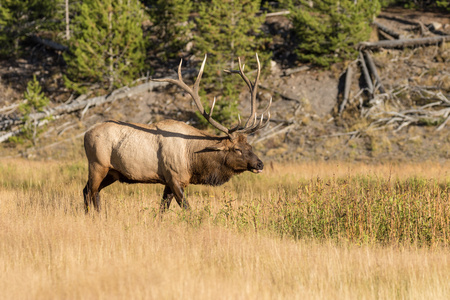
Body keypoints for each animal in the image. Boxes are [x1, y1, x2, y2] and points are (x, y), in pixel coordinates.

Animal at [82, 54, 270, 213]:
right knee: (89, 191)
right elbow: (187, 209)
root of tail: (86, 134)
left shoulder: (171, 182)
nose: (260, 164)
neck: (193, 159)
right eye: (237, 149)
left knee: (91, 191)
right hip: (97, 164)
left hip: (112, 172)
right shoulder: (174, 177)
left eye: (250, 146)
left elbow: (162, 209)